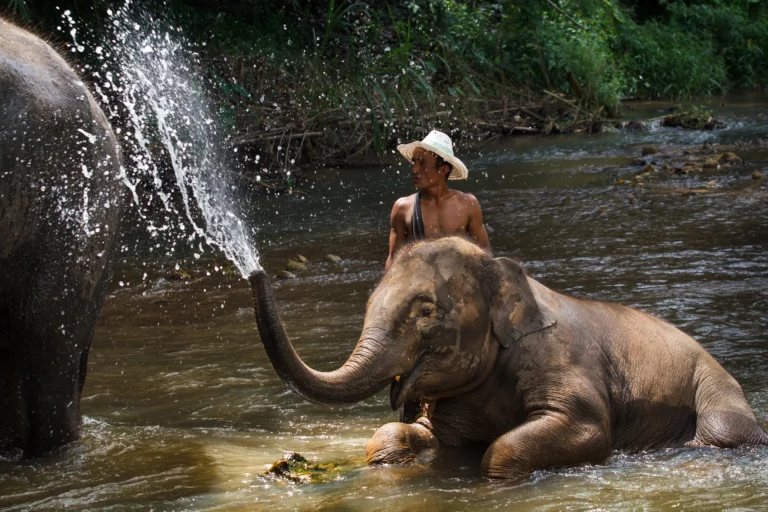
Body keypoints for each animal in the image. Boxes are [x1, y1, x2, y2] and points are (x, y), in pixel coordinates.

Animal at [248, 236, 768, 480]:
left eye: (426, 311)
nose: (255, 271)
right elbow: (400, 437)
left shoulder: (558, 362)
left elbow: (585, 430)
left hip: (716, 388)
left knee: (724, 432)